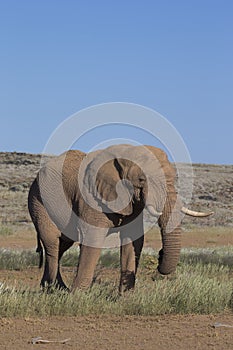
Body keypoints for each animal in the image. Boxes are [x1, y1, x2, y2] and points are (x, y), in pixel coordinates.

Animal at [27, 144, 211, 292]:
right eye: (141, 179)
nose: (160, 255)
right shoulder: (91, 197)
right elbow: (93, 238)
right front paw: (77, 296)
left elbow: (133, 241)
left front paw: (126, 297)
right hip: (39, 201)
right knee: (52, 244)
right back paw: (54, 289)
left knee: (61, 246)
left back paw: (53, 289)